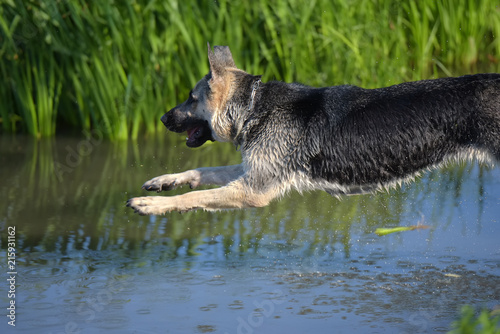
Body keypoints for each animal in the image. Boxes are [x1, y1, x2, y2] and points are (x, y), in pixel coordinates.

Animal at [126, 44, 500, 215]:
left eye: (191, 98)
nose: (162, 119)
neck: (253, 107)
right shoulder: (254, 171)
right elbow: (204, 172)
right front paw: (164, 182)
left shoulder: (253, 190)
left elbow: (195, 197)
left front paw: (150, 205)